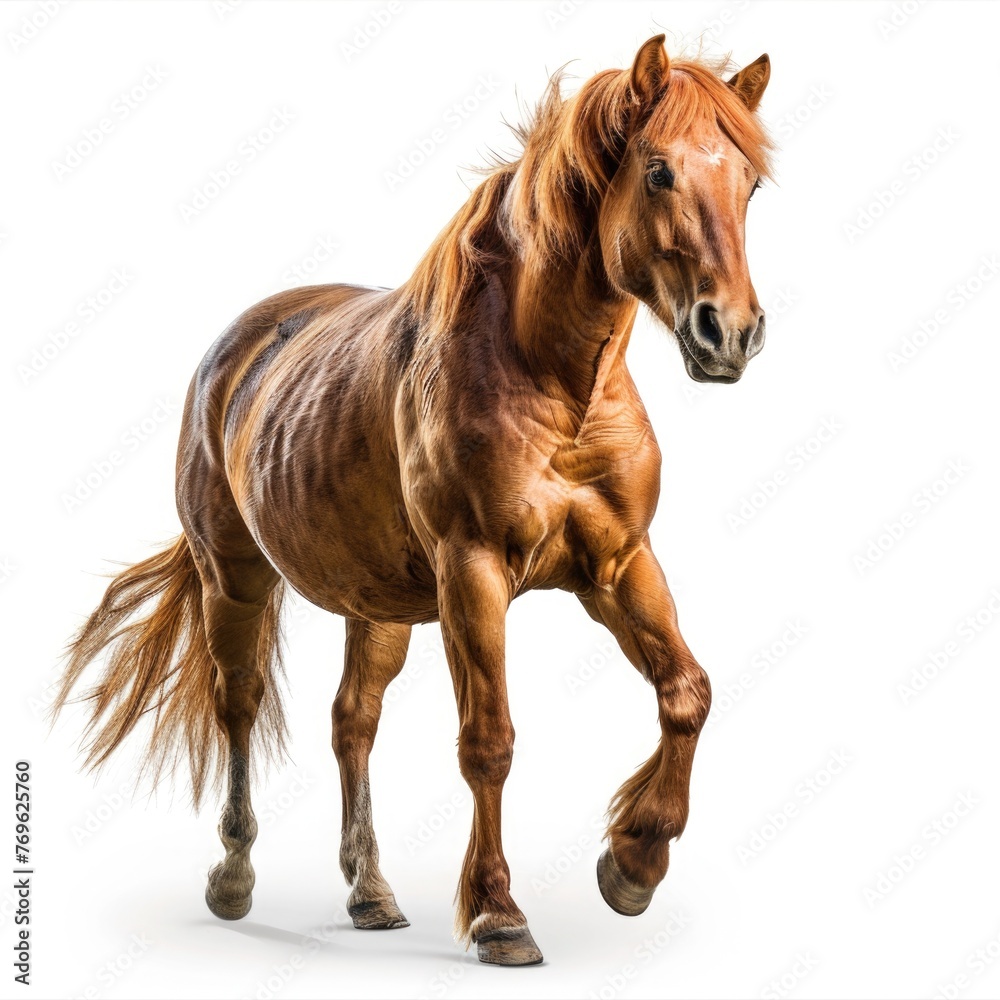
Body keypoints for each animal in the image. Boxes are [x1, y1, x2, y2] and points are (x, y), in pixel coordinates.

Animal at [53, 35, 773, 966]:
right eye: (658, 172)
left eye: (749, 184)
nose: (733, 334)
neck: (551, 382)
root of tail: (236, 350)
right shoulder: (474, 574)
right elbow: (489, 742)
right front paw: (500, 914)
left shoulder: (618, 565)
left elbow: (688, 692)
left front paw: (633, 863)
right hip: (235, 579)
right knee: (238, 704)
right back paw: (234, 877)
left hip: (380, 607)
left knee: (351, 721)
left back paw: (370, 891)